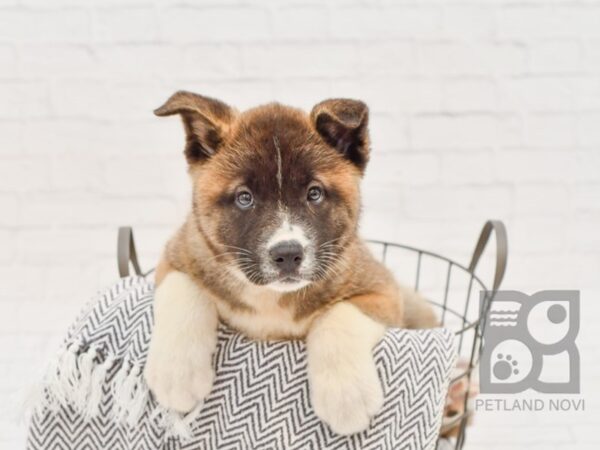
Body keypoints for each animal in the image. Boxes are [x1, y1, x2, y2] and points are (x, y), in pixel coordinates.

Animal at [143, 92, 438, 436]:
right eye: (245, 198)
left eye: (314, 193)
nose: (287, 254)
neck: (270, 298)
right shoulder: (178, 253)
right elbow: (184, 287)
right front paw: (176, 373)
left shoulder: (383, 292)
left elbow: (339, 314)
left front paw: (346, 395)